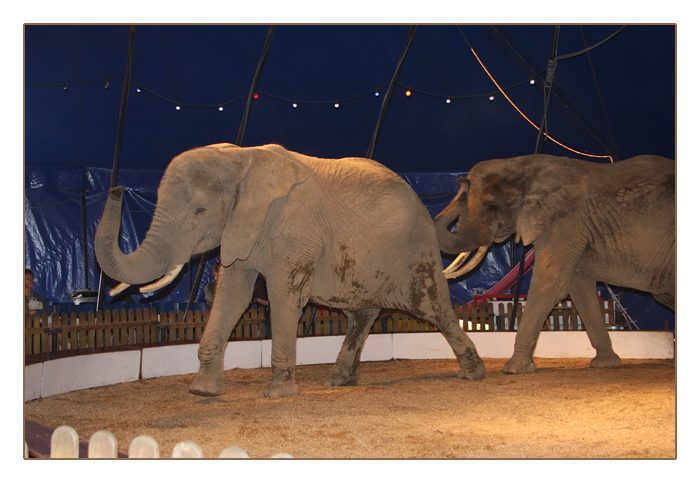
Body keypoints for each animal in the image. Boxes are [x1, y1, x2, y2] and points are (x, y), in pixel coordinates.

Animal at [95, 143, 484, 398]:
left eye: (200, 211)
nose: (115, 190)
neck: (240, 159)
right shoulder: (242, 231)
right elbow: (233, 297)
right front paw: (203, 392)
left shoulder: (296, 229)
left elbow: (283, 297)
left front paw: (279, 393)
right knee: (362, 314)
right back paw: (337, 382)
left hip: (417, 252)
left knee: (433, 308)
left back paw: (472, 374)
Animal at [434, 155, 676, 374]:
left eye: (492, 207)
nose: (462, 181)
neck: (523, 164)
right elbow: (580, 289)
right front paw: (606, 364)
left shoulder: (565, 223)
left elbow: (549, 285)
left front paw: (514, 369)